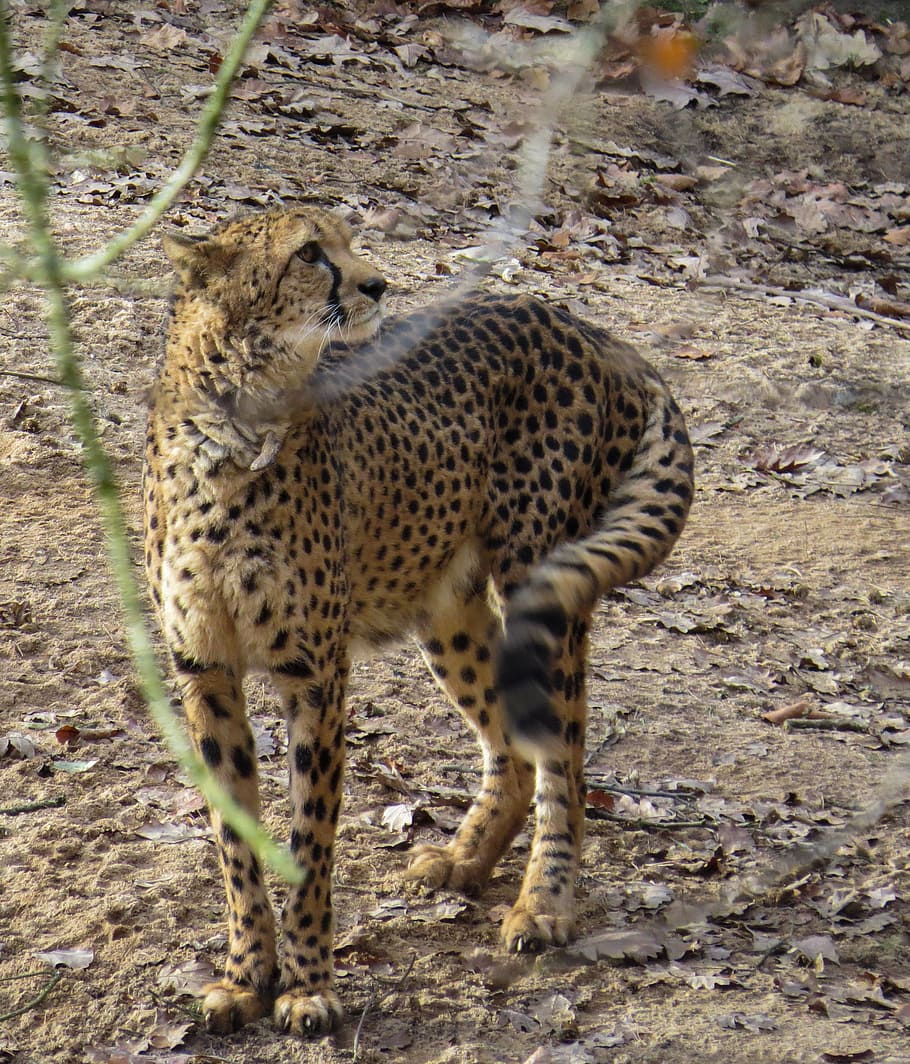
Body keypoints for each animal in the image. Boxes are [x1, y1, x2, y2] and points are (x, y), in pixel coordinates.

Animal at [143, 205, 694, 1038]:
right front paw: (244, 978)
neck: (240, 422)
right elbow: (235, 839)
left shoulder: (315, 674)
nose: (377, 284)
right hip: (446, 607)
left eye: (345, 241)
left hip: (541, 580)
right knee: (512, 743)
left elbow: (310, 837)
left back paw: (545, 904)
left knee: (564, 755)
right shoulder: (205, 670)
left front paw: (308, 986)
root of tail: (577, 321)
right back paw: (466, 859)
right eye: (311, 253)